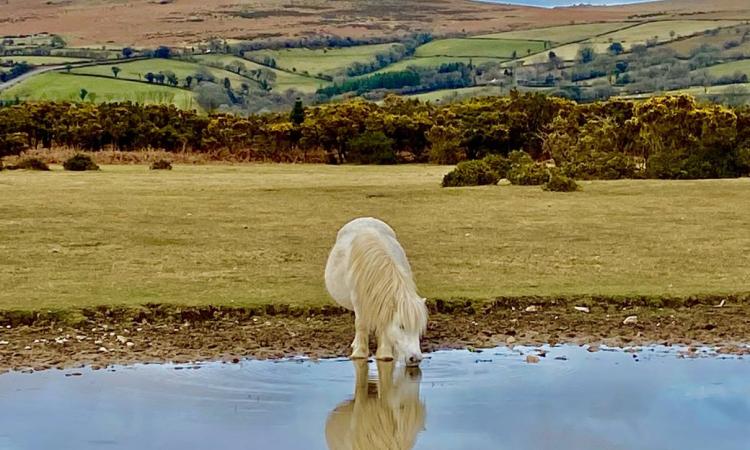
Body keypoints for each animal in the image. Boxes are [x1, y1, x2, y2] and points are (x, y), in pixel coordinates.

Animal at [324, 217, 428, 366]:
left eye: (419, 328)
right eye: (401, 326)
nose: (416, 358)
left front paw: (385, 354)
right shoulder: (359, 301)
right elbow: (361, 325)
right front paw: (359, 353)